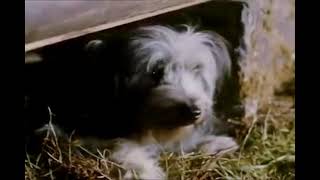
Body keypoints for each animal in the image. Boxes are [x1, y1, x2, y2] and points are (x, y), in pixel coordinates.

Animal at [25, 25, 238, 180]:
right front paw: (144, 171)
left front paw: (216, 143)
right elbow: (120, 147)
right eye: (155, 72)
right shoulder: (70, 134)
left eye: (195, 69)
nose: (194, 111)